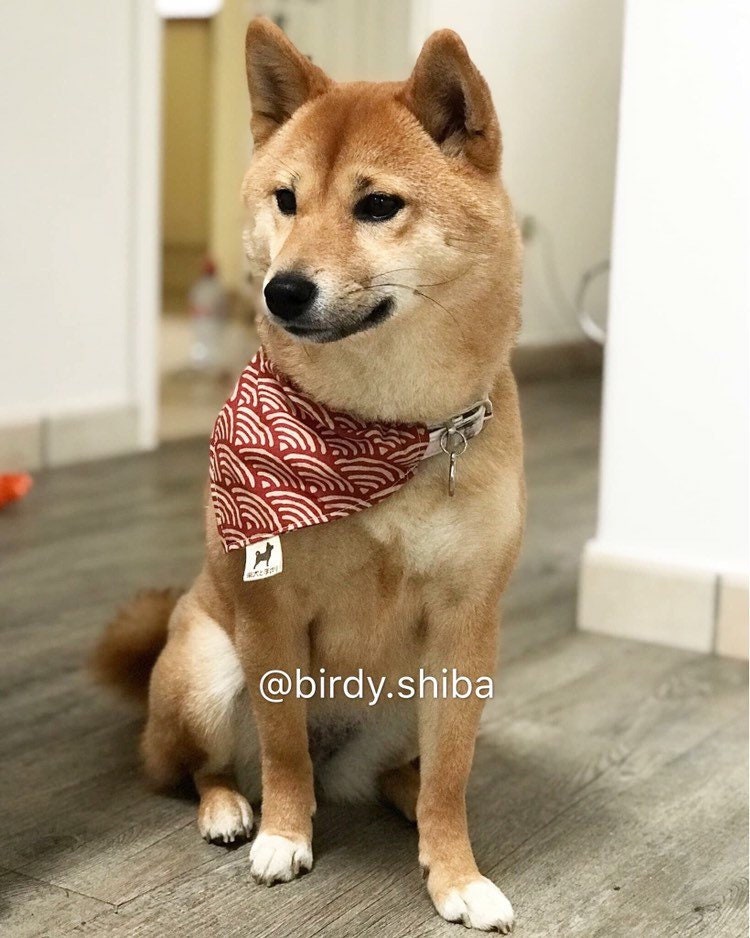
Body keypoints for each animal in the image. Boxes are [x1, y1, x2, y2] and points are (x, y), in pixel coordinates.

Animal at [94, 14, 524, 928]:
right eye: (285, 200)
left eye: (377, 206)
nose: (283, 290)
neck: (385, 426)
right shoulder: (270, 610)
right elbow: (283, 746)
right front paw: (285, 836)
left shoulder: (466, 626)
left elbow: (451, 779)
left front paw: (458, 873)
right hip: (206, 672)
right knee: (207, 765)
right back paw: (229, 808)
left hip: (412, 696)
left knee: (409, 773)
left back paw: (402, 805)